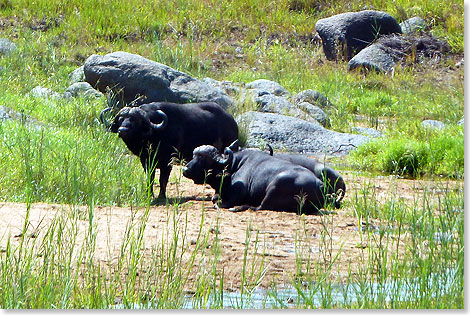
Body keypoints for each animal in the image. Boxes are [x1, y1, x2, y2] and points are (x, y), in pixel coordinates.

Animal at [99, 102, 239, 204]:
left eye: (135, 120)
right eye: (121, 119)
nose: (122, 130)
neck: (154, 136)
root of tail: (232, 122)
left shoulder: (168, 161)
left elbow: (163, 179)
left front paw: (161, 196)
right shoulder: (145, 160)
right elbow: (150, 178)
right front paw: (149, 194)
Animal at [182, 144, 328, 215]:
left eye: (203, 159)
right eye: (194, 156)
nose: (185, 169)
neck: (233, 167)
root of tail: (319, 184)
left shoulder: (237, 195)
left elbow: (220, 203)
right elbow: (214, 198)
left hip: (275, 185)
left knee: (260, 207)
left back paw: (238, 208)